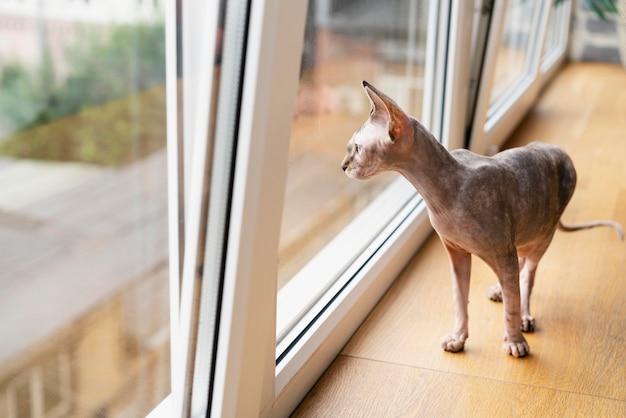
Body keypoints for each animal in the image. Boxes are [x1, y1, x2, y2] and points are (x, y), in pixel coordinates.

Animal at [338, 81, 620, 356]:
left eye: (358, 148)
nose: (343, 166)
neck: (440, 195)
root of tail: (559, 150)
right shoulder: (456, 253)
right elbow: (460, 300)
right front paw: (458, 338)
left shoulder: (502, 252)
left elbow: (512, 305)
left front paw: (515, 341)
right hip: (523, 233)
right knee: (519, 269)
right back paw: (500, 291)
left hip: (541, 235)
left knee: (527, 276)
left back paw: (524, 316)